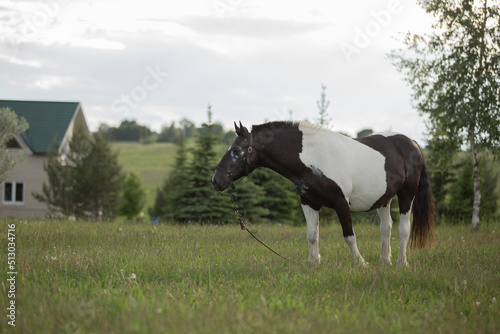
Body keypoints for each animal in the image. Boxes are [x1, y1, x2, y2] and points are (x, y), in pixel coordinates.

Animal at [211, 122, 434, 266]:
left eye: (236, 150)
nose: (216, 180)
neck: (313, 158)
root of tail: (413, 143)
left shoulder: (341, 203)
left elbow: (349, 236)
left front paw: (360, 263)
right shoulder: (309, 203)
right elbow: (312, 235)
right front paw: (313, 262)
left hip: (407, 195)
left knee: (403, 229)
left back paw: (401, 262)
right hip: (383, 200)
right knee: (386, 228)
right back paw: (384, 261)